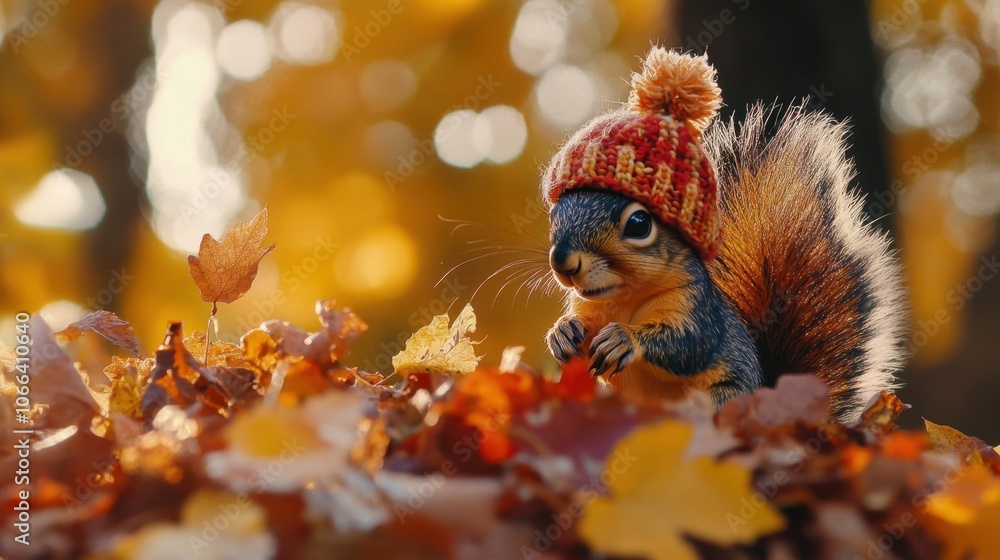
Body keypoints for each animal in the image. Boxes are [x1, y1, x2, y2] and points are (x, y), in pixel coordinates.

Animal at [541, 47, 906, 420]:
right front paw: (562, 332)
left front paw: (624, 338)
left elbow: (687, 344)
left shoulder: (698, 309)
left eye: (639, 224)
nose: (563, 262)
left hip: (723, 401)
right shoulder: (589, 307)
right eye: (554, 214)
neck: (624, 298)